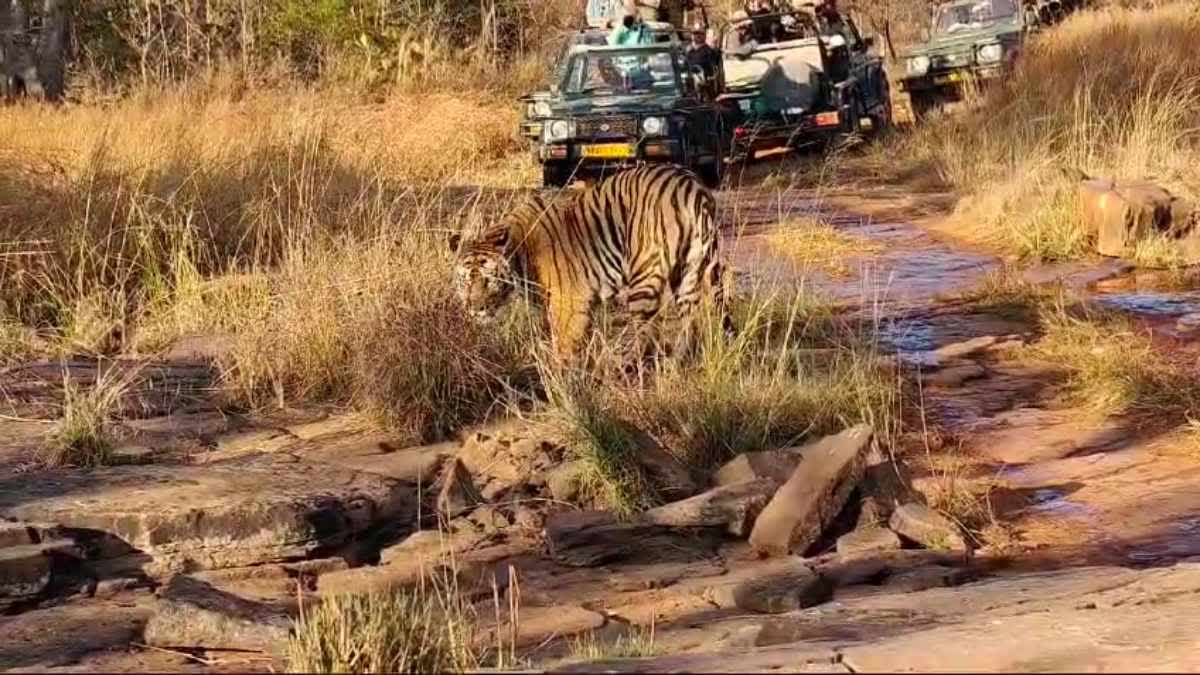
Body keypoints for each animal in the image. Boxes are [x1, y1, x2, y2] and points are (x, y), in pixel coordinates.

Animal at [451, 163, 729, 362]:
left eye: (490, 280)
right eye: (465, 281)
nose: (475, 308)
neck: (521, 252)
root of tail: (691, 186)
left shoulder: (568, 303)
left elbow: (563, 345)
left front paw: (561, 380)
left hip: (644, 277)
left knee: (647, 334)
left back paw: (629, 366)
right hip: (688, 273)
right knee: (689, 322)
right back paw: (676, 362)